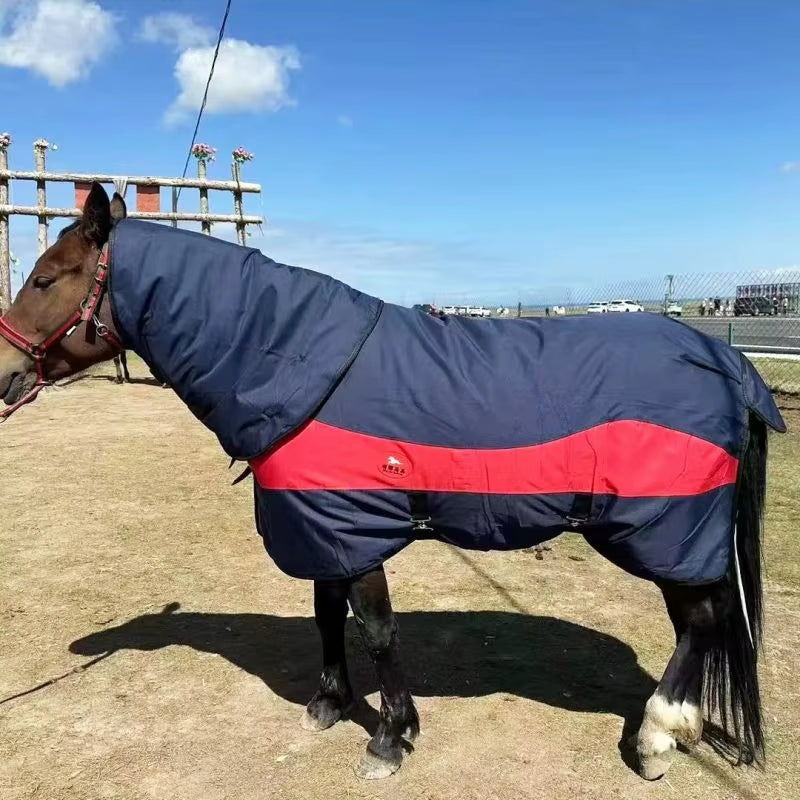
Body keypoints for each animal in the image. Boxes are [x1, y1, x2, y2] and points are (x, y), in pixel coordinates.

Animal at [0, 182, 786, 782]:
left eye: (44, 280)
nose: (4, 373)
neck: (301, 363)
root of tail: (727, 363)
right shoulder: (323, 522)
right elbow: (328, 615)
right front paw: (329, 704)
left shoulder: (357, 527)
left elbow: (376, 630)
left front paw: (389, 737)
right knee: (703, 621)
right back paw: (683, 727)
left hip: (661, 525)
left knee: (705, 620)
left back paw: (656, 737)